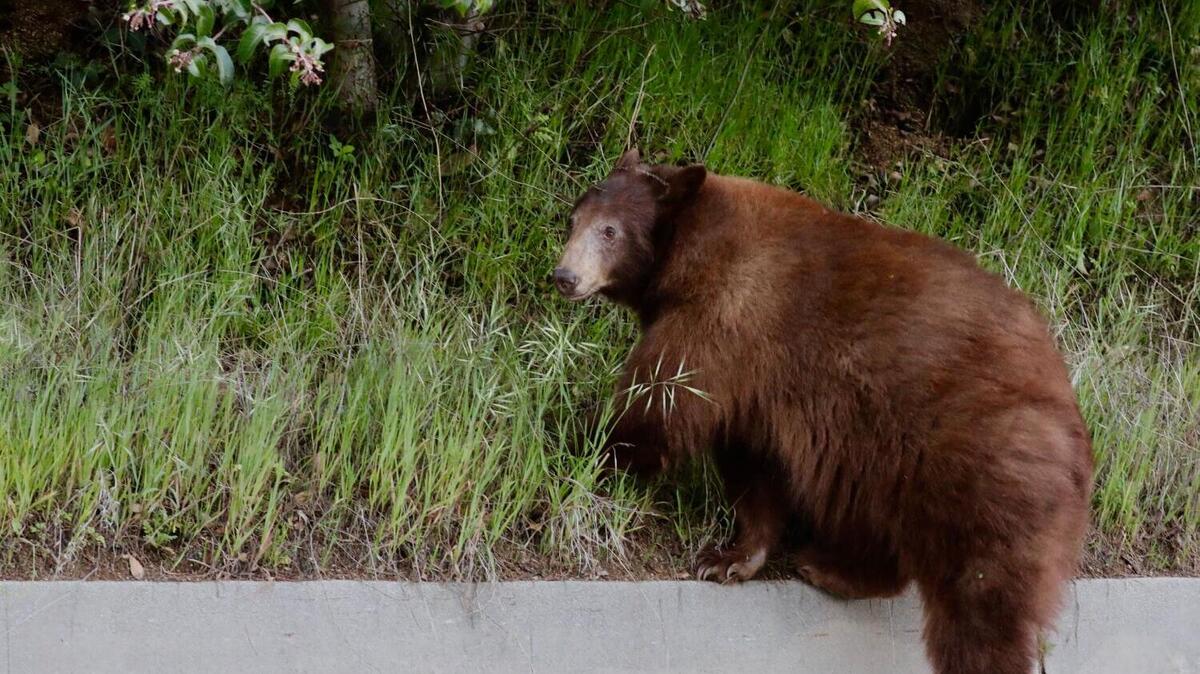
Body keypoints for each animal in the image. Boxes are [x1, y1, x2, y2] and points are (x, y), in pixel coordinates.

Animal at [553, 148, 1093, 674]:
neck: (687, 251)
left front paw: (585, 447)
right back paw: (830, 567)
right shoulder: (757, 381)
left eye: (610, 231)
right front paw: (731, 558)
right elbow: (752, 463)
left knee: (980, 598)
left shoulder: (721, 316)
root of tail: (1074, 426)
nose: (565, 276)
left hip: (978, 468)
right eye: (573, 219)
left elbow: (659, 402)